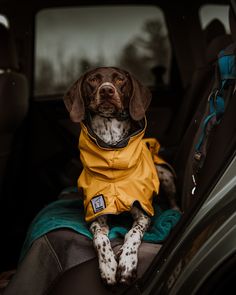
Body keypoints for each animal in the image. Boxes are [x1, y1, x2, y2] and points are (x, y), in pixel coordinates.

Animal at [63, 67, 178, 286]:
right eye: (93, 80)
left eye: (120, 79)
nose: (107, 90)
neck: (112, 150)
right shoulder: (95, 213)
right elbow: (99, 238)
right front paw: (108, 266)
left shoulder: (143, 213)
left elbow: (132, 234)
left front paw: (126, 264)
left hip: (164, 174)